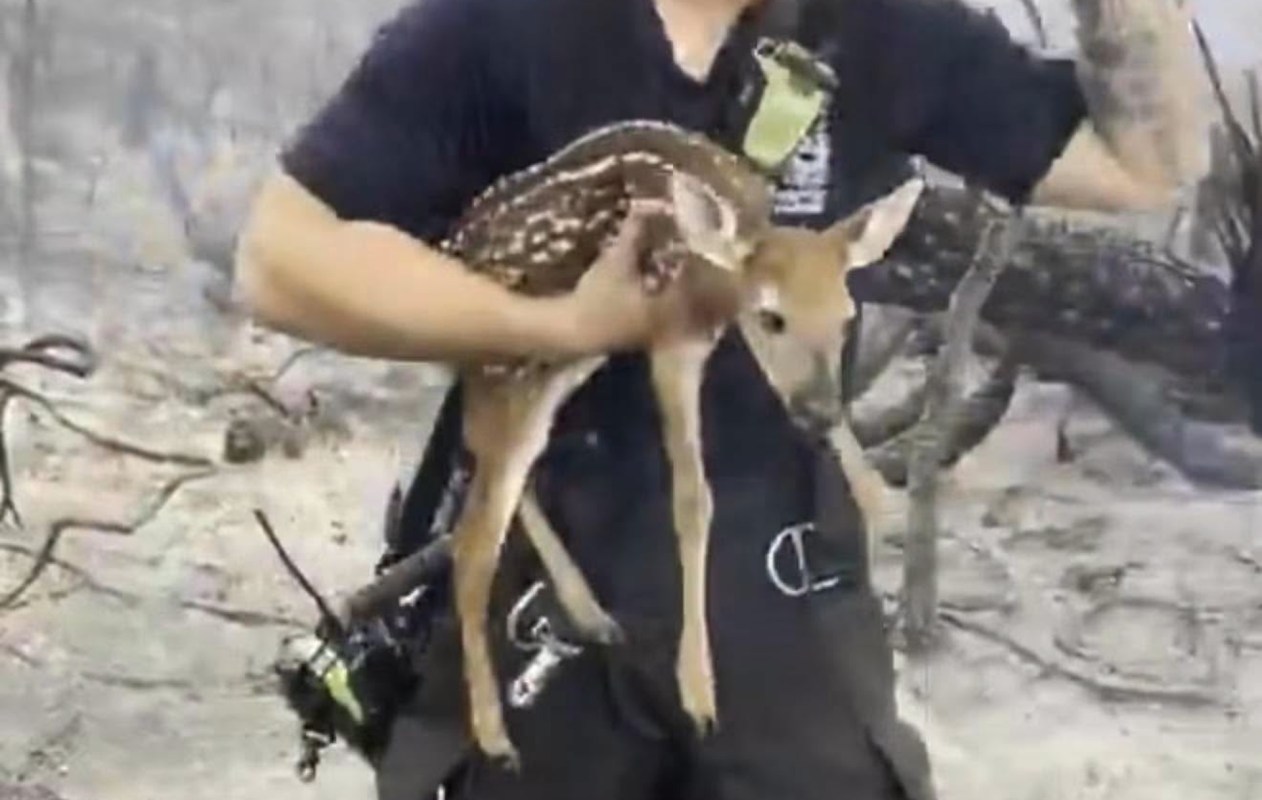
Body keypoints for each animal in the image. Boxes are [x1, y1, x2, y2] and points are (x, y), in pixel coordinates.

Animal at [425, 119, 920, 767]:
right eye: (771, 318)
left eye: (845, 318)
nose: (814, 412)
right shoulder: (669, 338)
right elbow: (693, 500)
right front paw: (698, 694)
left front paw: (885, 506)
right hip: (509, 368)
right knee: (473, 540)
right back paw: (494, 735)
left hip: (560, 361)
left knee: (502, 471)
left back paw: (591, 614)